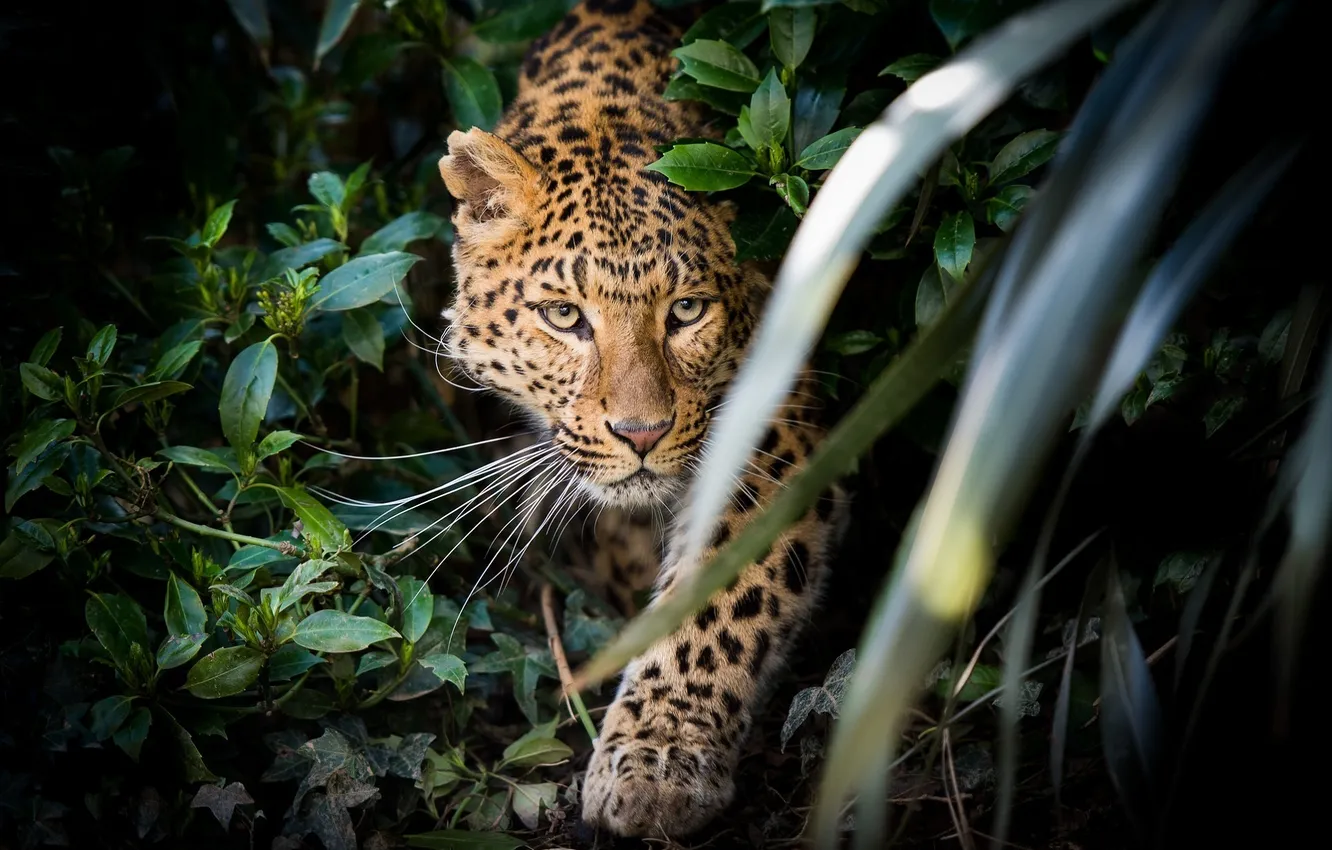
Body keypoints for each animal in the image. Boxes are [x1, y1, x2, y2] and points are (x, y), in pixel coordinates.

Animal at [436, 0, 846, 838]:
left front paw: (656, 761)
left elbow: (723, 594)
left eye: (686, 311)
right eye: (565, 316)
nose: (642, 435)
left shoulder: (775, 423)